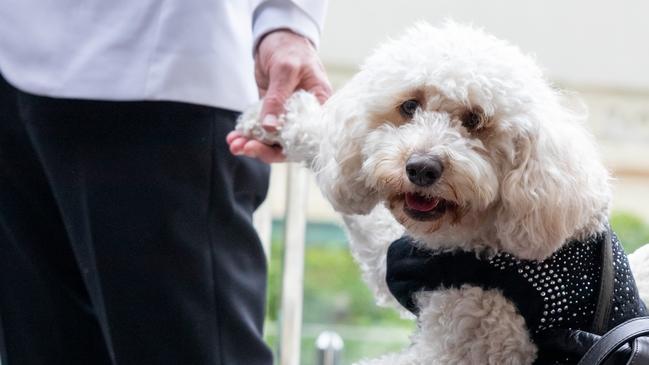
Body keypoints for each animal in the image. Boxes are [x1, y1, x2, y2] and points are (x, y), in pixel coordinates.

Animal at [237, 21, 648, 362]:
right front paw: (284, 121)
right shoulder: (406, 259)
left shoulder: (471, 338)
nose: (421, 168)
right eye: (408, 106)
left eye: (475, 120)